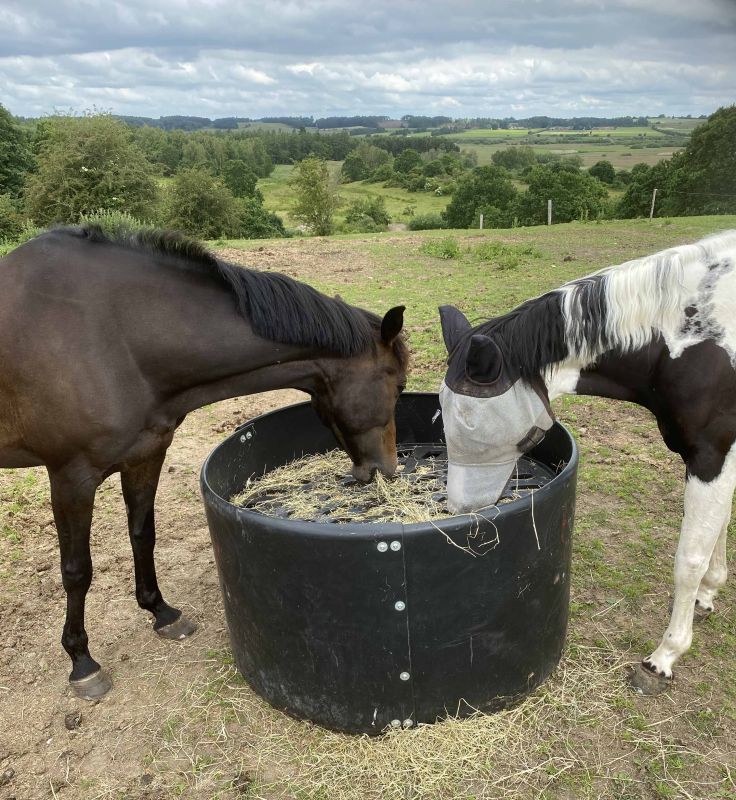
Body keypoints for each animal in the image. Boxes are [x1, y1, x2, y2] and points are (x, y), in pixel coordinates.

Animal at [0, 225, 408, 700]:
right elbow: (76, 570)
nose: (386, 470)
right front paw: (82, 661)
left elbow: (142, 536)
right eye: (399, 384)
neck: (117, 336)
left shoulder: (145, 455)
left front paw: (161, 613)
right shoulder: (71, 477)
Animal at [440, 231, 732, 692]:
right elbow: (718, 530)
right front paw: (709, 593)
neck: (692, 338)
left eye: (469, 420)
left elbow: (689, 558)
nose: (460, 511)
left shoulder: (711, 453)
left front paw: (665, 656)